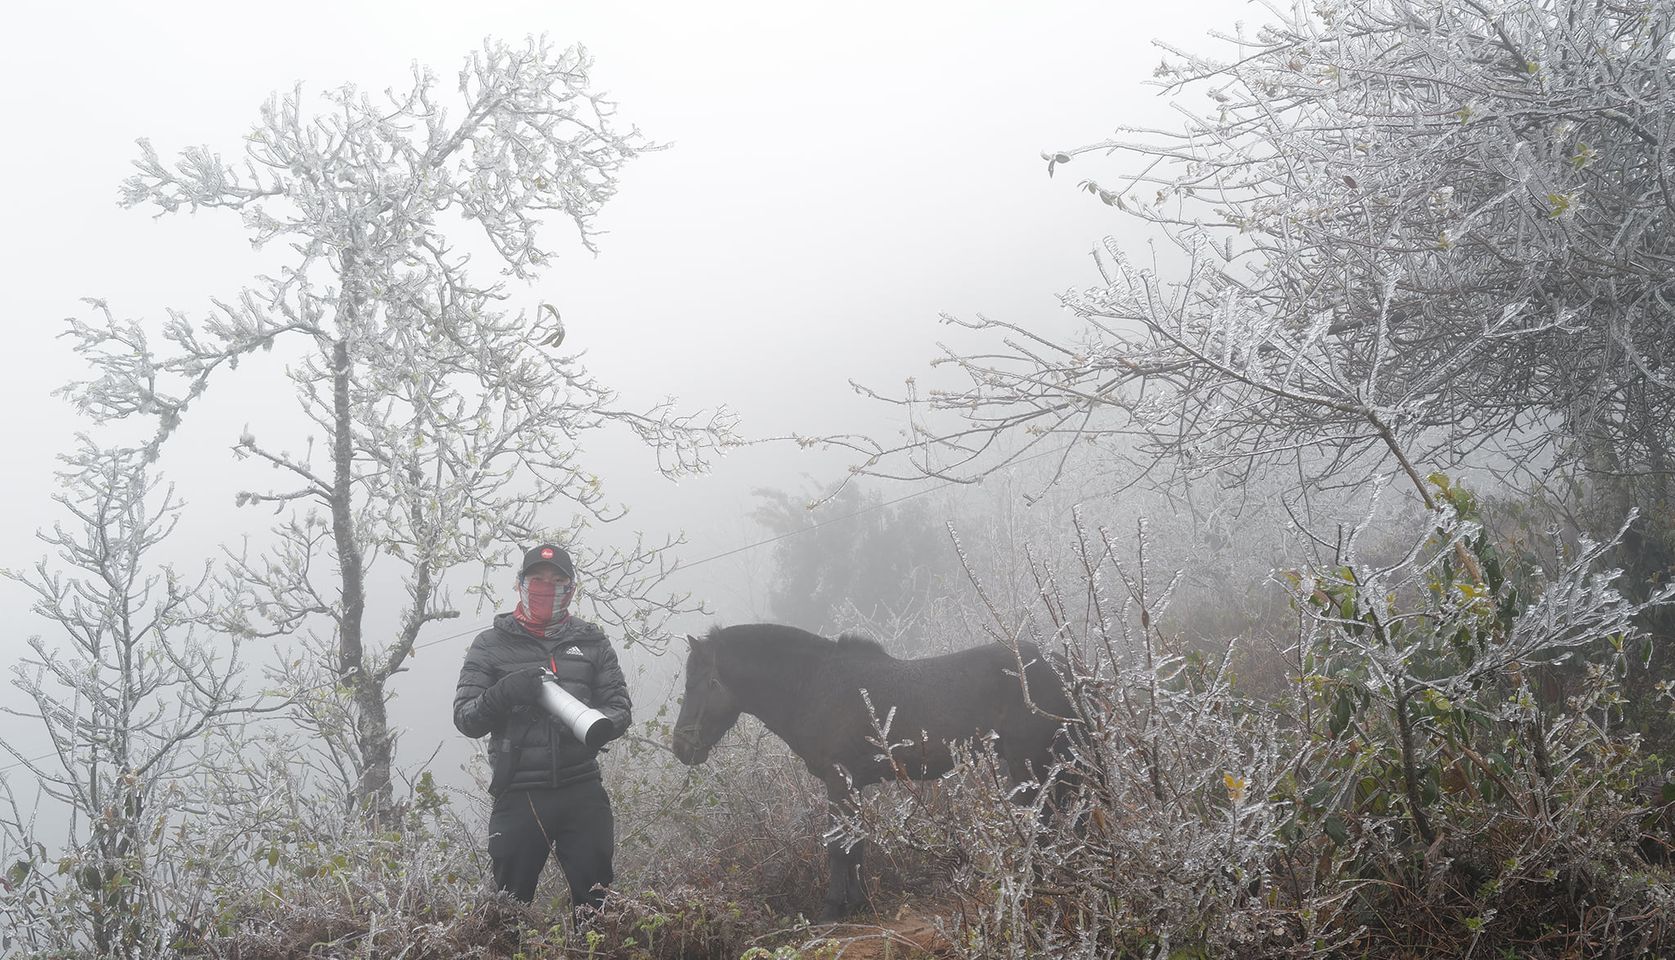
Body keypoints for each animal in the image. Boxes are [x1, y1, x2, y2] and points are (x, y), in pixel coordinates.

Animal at [666, 619, 1072, 918]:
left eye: (698, 684)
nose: (680, 747)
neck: (812, 685)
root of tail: (1057, 665)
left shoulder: (837, 780)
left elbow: (837, 845)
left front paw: (831, 909)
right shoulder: (853, 784)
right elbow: (856, 845)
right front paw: (857, 903)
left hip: (1027, 764)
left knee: (1042, 825)